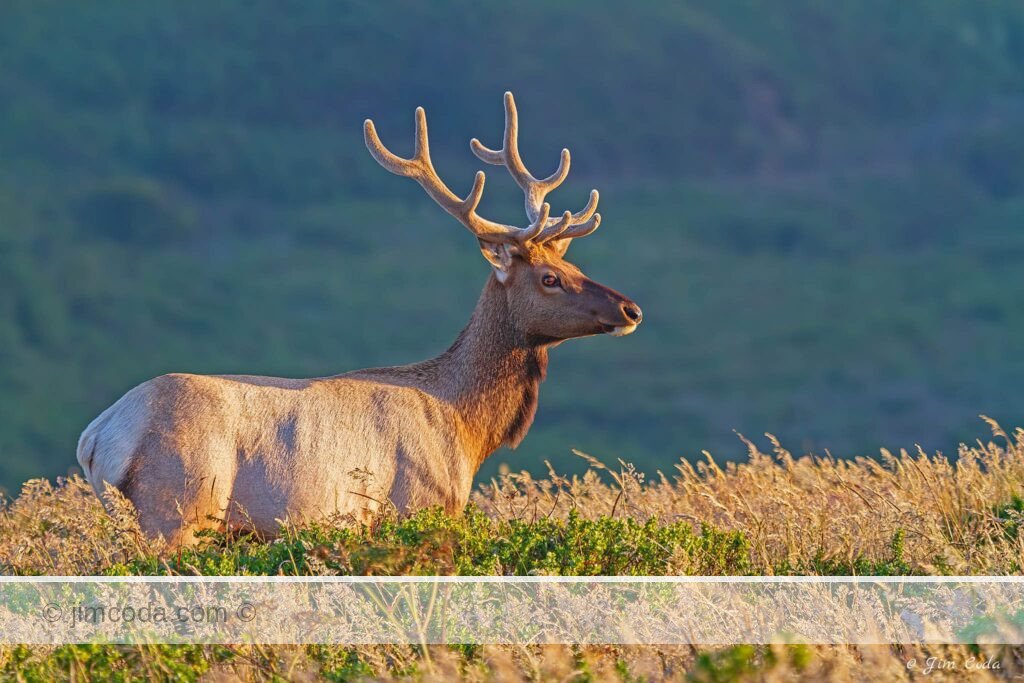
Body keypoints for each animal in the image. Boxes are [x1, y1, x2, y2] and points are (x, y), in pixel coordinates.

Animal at [76, 92, 643, 546]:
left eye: (575, 266)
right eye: (549, 278)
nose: (630, 309)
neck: (464, 429)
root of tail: (97, 437)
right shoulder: (416, 507)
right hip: (178, 510)